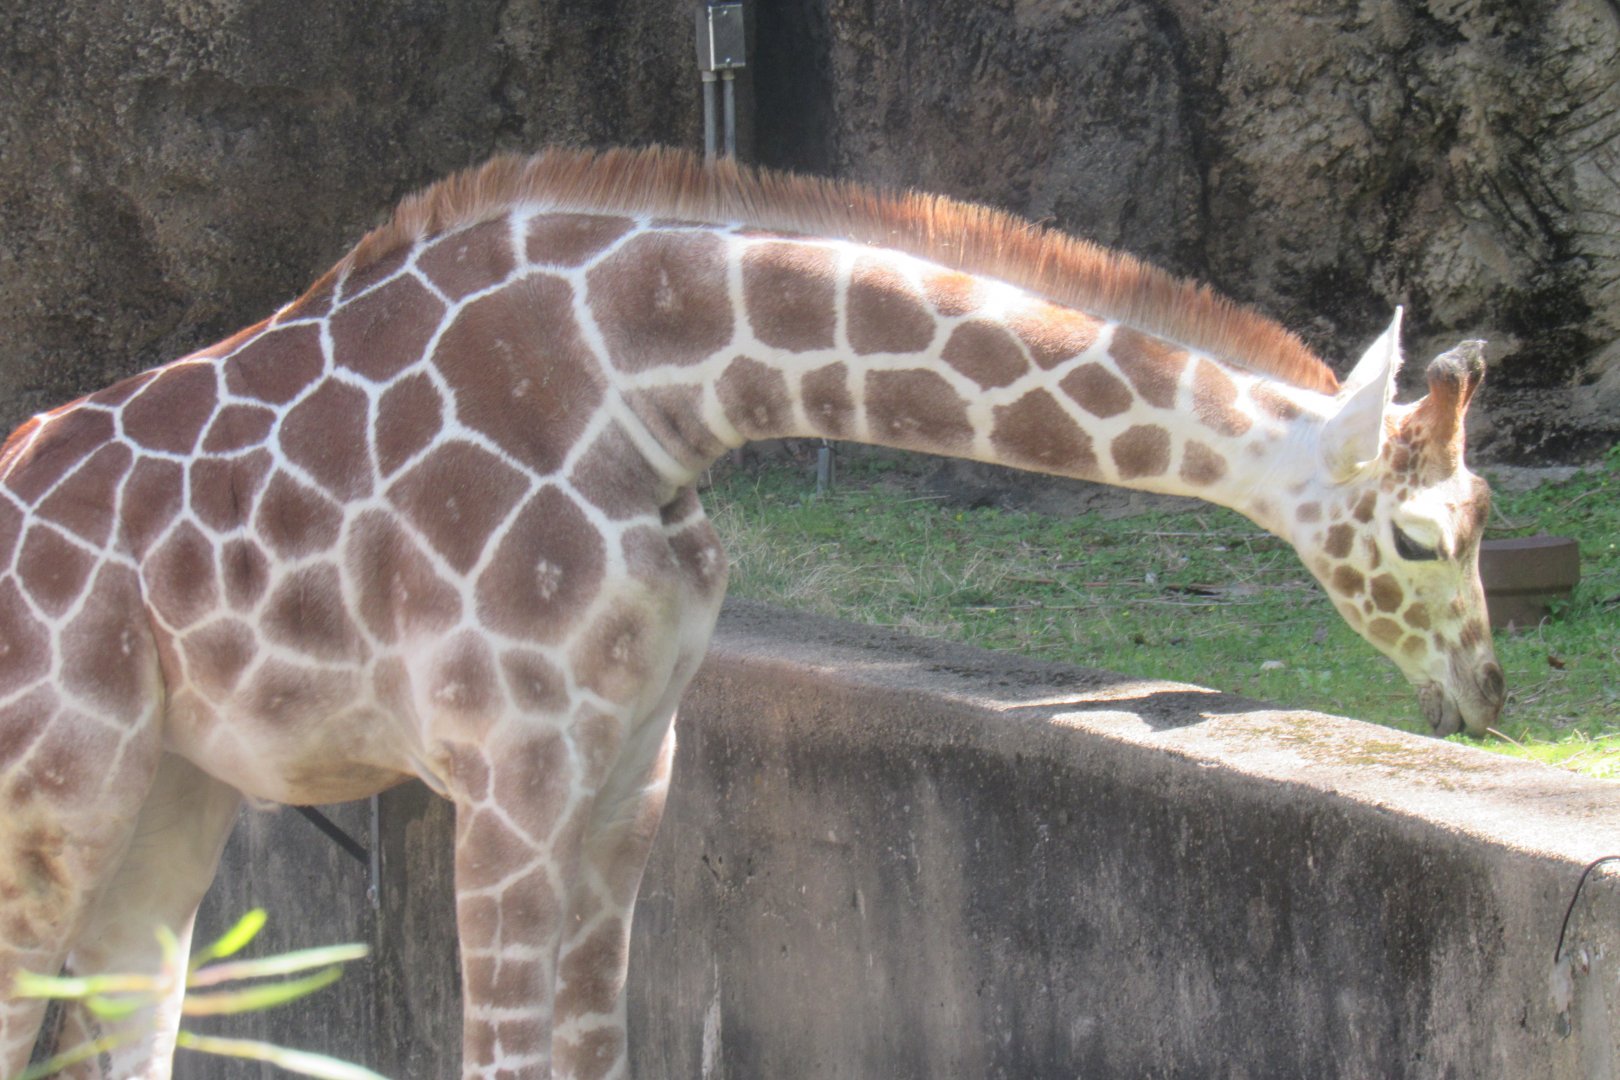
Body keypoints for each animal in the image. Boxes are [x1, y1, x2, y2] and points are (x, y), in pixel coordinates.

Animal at [0, 147, 1503, 1079]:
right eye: (1423, 536)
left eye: (1489, 518)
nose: (1487, 700)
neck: (648, 388)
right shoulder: (505, 774)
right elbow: (505, 1051)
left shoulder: (630, 774)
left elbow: (591, 1049)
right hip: (55, 792)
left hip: (170, 792)